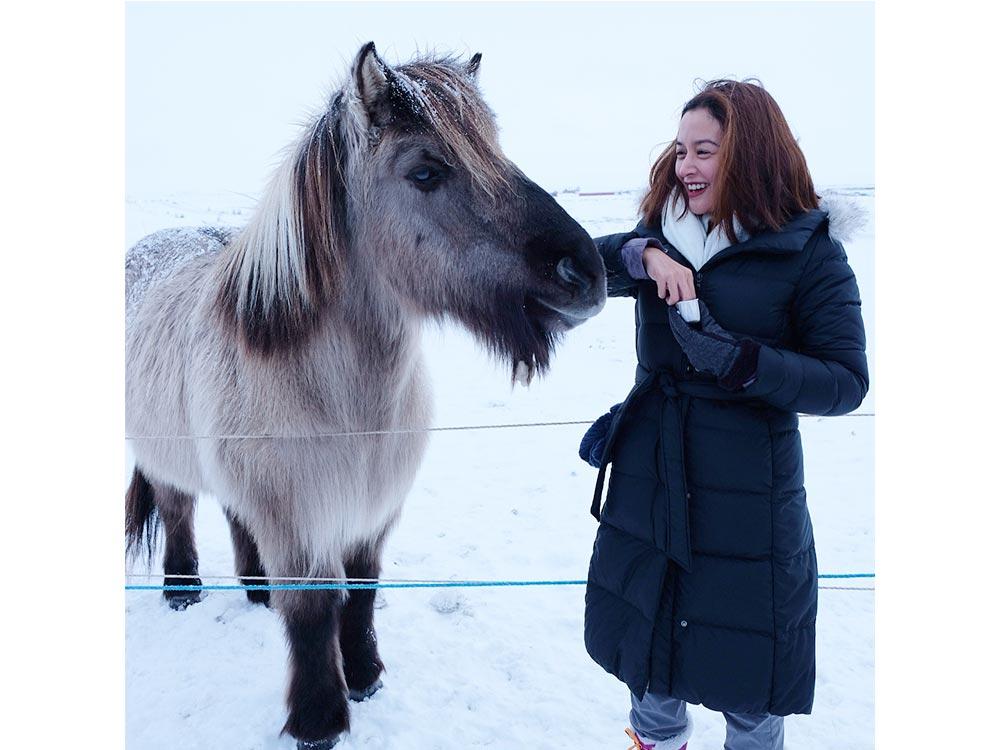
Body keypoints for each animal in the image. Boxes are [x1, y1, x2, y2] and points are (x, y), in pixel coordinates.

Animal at [125, 43, 606, 749]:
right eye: (426, 171)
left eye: (497, 148)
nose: (586, 272)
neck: (344, 403)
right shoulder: (299, 518)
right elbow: (313, 610)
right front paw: (319, 718)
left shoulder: (372, 511)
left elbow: (363, 591)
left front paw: (366, 676)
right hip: (169, 463)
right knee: (179, 510)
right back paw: (183, 590)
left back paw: (256, 590)